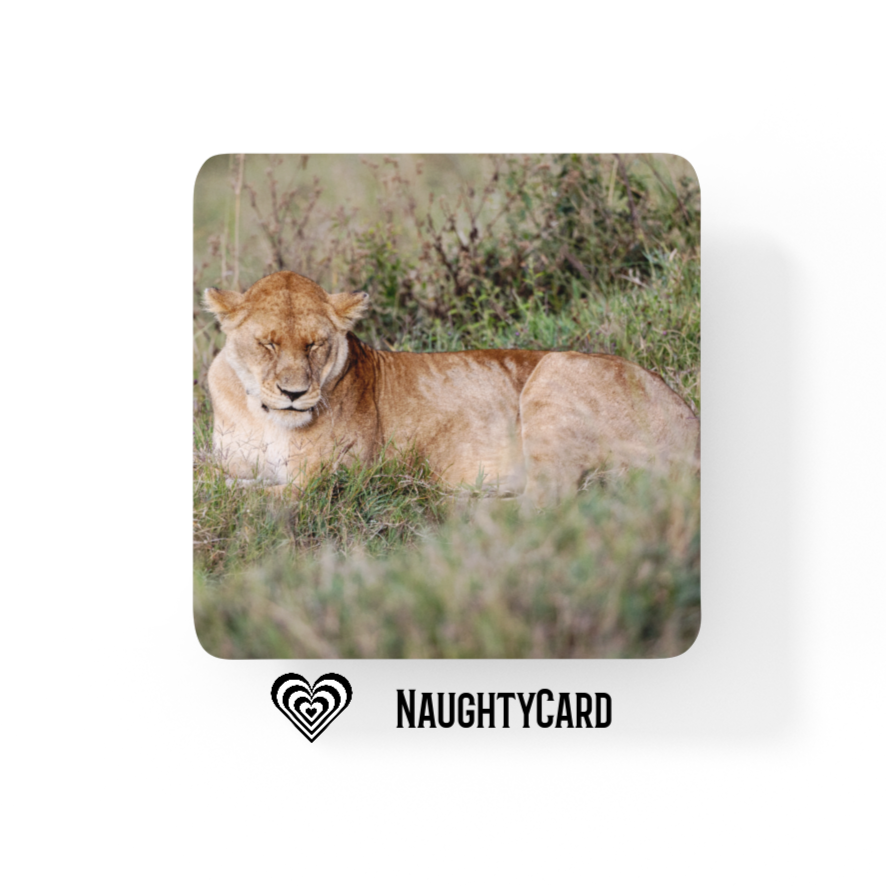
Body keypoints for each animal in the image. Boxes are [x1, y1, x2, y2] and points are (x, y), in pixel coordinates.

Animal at [203, 271, 699, 505]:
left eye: (315, 345)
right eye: (267, 343)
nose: (293, 394)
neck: (266, 419)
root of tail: (691, 423)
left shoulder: (326, 479)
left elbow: (248, 497)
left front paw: (230, 494)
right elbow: (216, 479)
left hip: (556, 371)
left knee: (548, 502)